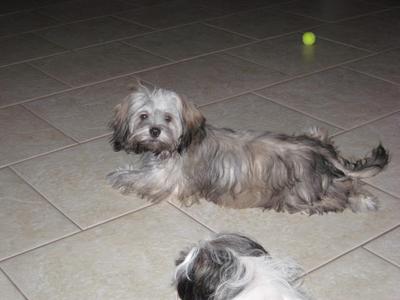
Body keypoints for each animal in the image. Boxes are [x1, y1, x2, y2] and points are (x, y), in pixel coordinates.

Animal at [108, 84, 390, 214]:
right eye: (144, 116)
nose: (154, 131)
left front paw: (120, 174)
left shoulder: (164, 180)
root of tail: (319, 150)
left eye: (167, 118)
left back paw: (363, 200)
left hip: (299, 193)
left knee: (341, 192)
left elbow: (136, 178)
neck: (177, 145)